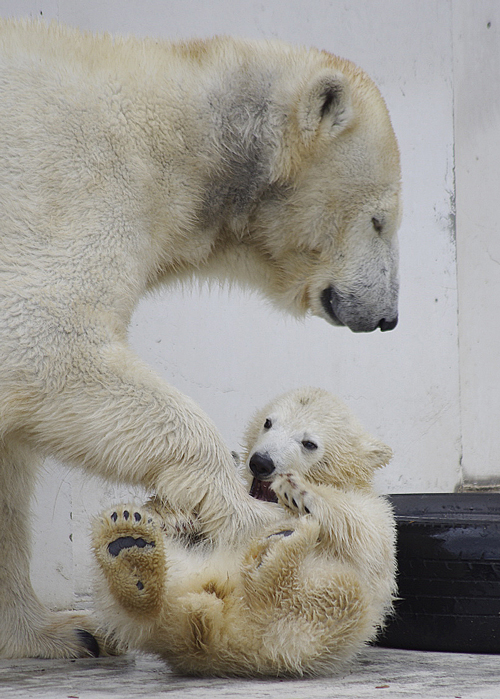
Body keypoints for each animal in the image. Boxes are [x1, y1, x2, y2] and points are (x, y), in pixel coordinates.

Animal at [0, 19, 400, 660]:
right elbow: (45, 339)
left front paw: (58, 630)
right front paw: (252, 516)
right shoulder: (65, 189)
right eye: (380, 220)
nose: (387, 316)